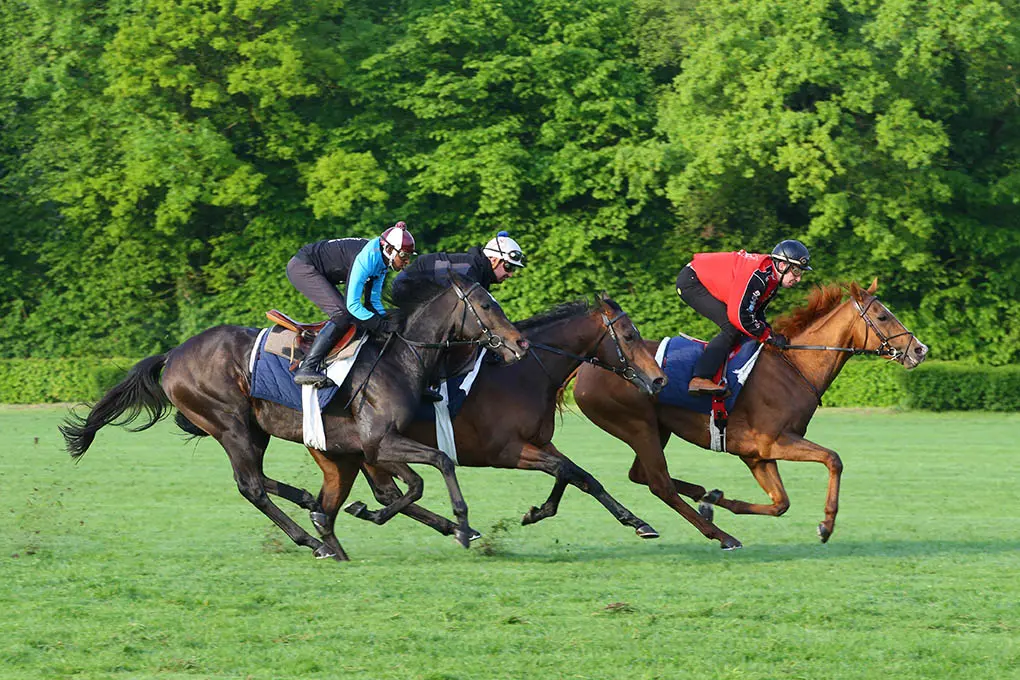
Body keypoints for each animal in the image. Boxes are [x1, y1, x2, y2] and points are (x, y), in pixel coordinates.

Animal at [61, 273, 526, 562]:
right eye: (486, 304)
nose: (519, 343)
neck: (400, 356)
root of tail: (173, 353)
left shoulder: (370, 448)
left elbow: (405, 489)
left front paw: (451, 526)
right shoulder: (378, 441)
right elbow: (435, 468)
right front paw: (461, 524)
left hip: (254, 429)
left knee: (259, 479)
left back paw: (308, 506)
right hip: (229, 424)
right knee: (250, 485)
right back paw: (310, 538)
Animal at [575, 279, 934, 546]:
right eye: (883, 316)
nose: (920, 350)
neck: (794, 366)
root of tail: (588, 364)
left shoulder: (757, 455)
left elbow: (780, 503)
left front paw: (715, 500)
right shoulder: (773, 442)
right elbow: (833, 459)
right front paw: (826, 524)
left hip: (655, 429)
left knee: (641, 475)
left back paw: (704, 498)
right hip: (638, 426)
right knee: (658, 483)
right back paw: (720, 534)